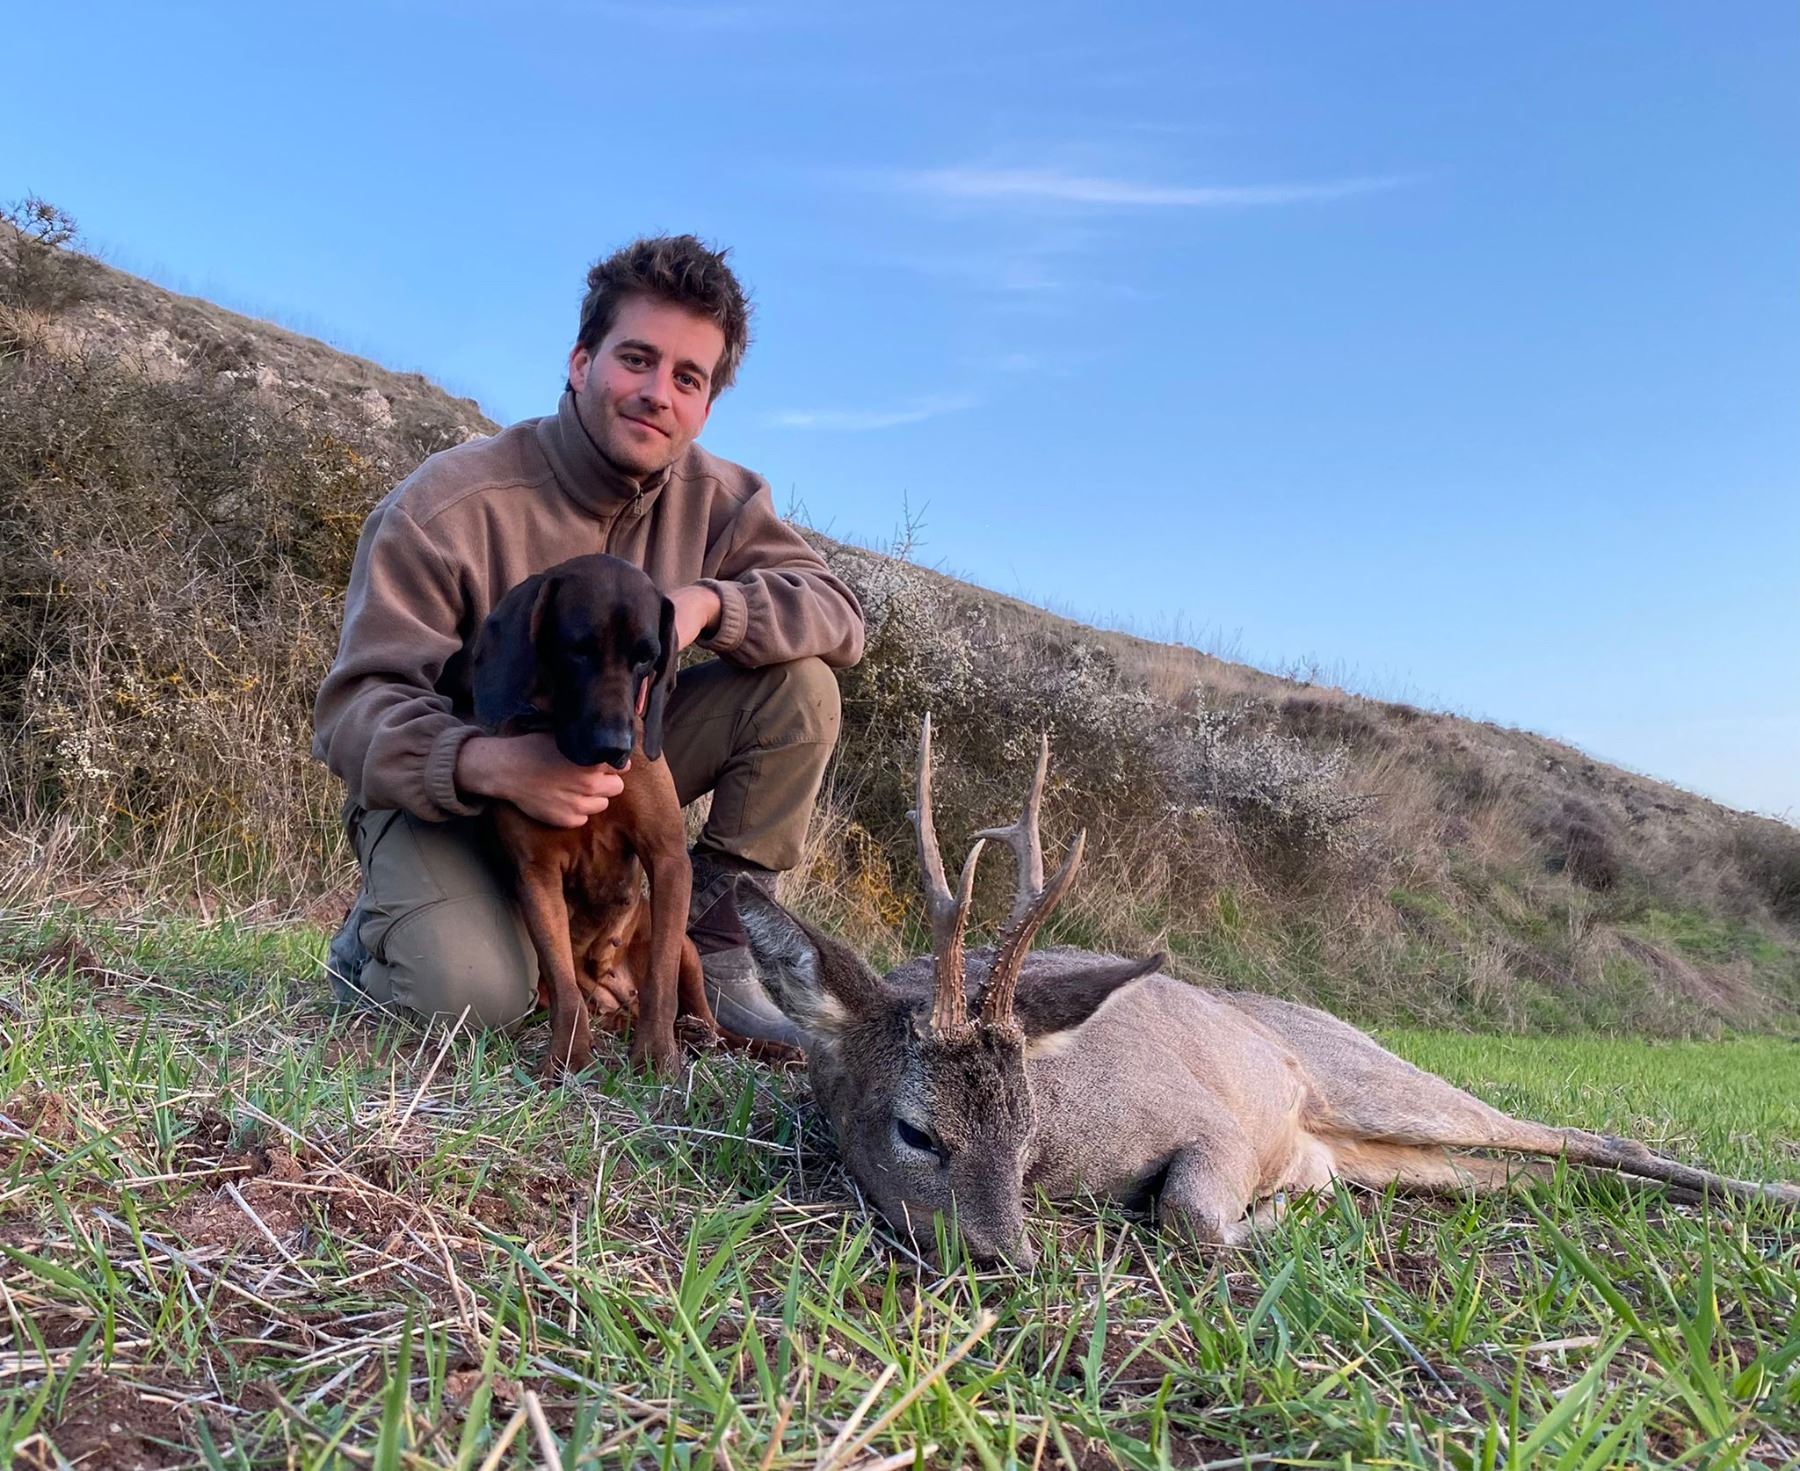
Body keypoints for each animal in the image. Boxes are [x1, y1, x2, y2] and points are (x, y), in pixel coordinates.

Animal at [734, 717, 1800, 1266]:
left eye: (1028, 1124)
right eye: (917, 1130)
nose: (1011, 1255)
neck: (1066, 1147)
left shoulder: (1209, 1122)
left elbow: (1192, 1217)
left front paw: (1284, 1205)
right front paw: (1302, 1195)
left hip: (1374, 1084)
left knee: (1591, 1135)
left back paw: (1773, 1194)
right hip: (1413, 1155)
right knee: (1550, 1168)